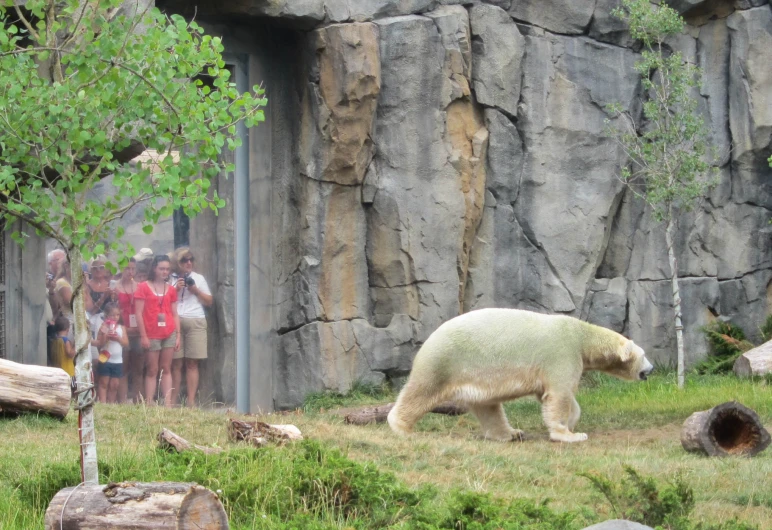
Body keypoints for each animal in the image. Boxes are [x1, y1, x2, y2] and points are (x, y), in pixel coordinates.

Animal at [386, 306, 652, 442]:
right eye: (643, 355)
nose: (650, 369)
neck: (582, 335)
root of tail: (429, 339)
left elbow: (552, 395)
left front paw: (572, 422)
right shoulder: (562, 353)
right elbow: (559, 394)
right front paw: (571, 434)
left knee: (488, 407)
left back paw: (511, 433)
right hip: (446, 361)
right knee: (422, 391)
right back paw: (400, 426)